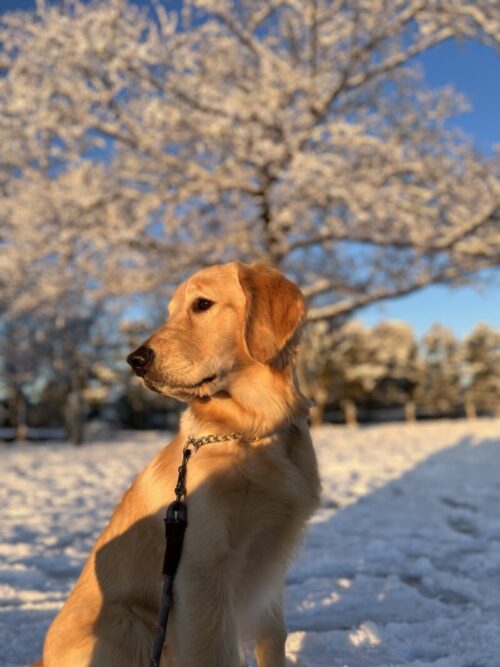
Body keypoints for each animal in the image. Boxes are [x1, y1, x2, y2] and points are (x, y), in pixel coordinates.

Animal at [39, 264, 320, 664]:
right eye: (170, 312)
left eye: (202, 304)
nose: (135, 360)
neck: (252, 431)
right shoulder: (202, 570)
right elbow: (217, 654)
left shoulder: (270, 567)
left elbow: (272, 639)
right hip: (127, 623)